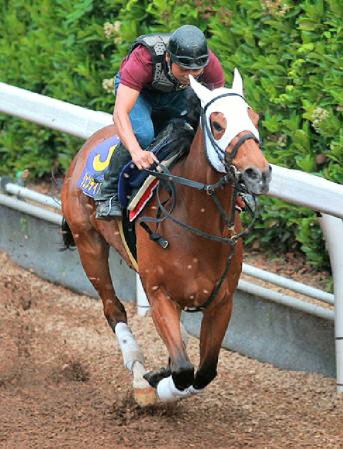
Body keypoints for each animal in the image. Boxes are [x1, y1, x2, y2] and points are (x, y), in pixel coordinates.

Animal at [61, 68, 272, 404]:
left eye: (254, 117)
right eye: (217, 124)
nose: (258, 174)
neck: (197, 223)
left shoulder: (222, 300)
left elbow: (204, 372)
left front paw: (162, 377)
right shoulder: (159, 292)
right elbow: (185, 372)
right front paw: (154, 388)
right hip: (88, 242)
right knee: (112, 307)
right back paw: (137, 374)